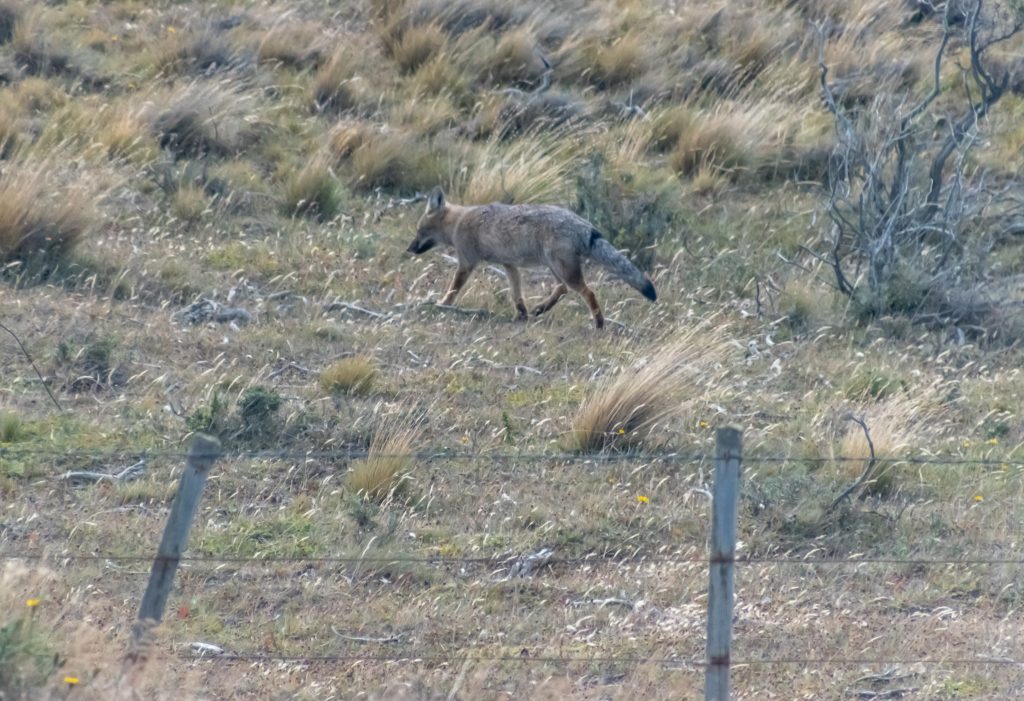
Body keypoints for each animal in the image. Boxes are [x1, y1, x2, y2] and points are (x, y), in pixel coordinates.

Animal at [406, 187, 656, 329]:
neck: (459, 221)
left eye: (419, 231)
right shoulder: (510, 266)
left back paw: (599, 323)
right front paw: (522, 314)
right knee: (562, 289)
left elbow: (453, 289)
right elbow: (517, 294)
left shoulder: (466, 264)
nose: (409, 249)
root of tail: (584, 224)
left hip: (562, 269)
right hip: (555, 267)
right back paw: (540, 309)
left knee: (588, 292)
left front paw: (442, 304)